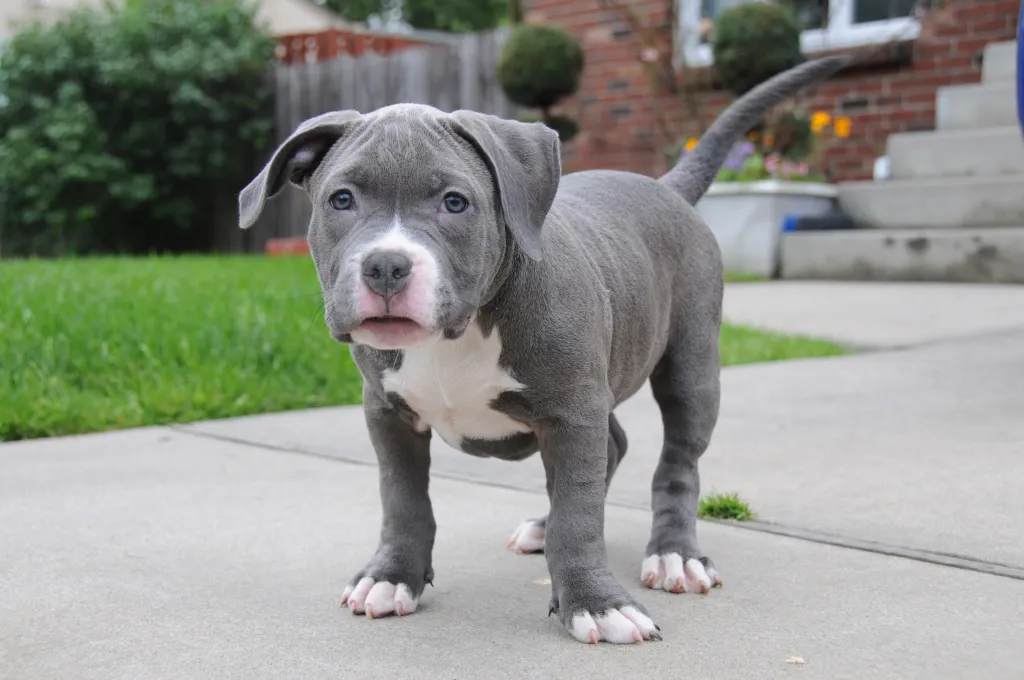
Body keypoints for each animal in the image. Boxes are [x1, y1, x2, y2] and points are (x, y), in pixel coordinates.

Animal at [239, 53, 847, 643]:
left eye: (454, 203)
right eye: (341, 199)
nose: (386, 265)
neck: (459, 333)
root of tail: (666, 187)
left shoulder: (572, 414)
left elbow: (580, 515)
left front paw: (596, 604)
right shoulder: (389, 413)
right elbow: (404, 500)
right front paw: (391, 576)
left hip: (691, 367)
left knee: (677, 461)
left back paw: (675, 554)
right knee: (615, 444)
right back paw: (543, 525)